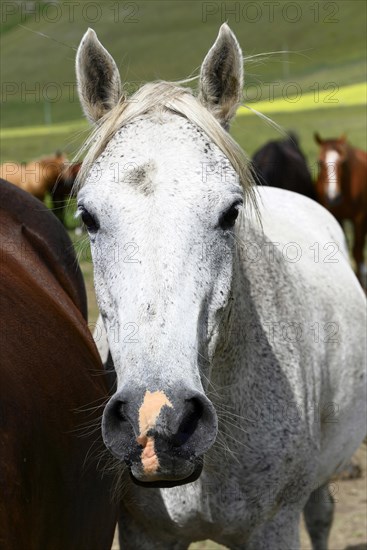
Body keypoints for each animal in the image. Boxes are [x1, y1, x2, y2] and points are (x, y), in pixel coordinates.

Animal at [314, 134, 367, 288]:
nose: (333, 197)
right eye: (320, 162)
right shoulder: (335, 216)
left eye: (343, 163)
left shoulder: (359, 219)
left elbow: (357, 252)